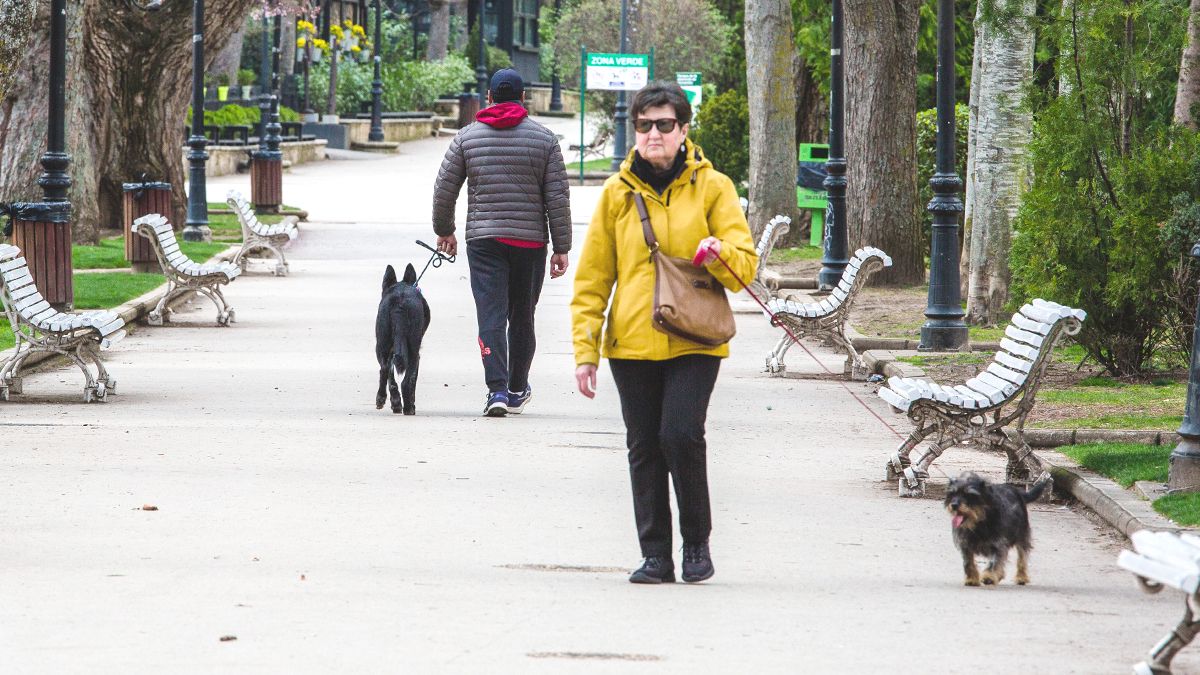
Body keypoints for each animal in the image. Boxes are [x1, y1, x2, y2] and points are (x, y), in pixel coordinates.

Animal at [376, 261, 434, 410]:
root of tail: (399, 303)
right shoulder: (417, 356)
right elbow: (413, 382)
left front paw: (394, 401)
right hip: (413, 350)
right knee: (407, 382)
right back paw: (409, 408)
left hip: (382, 344)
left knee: (384, 369)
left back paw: (383, 398)